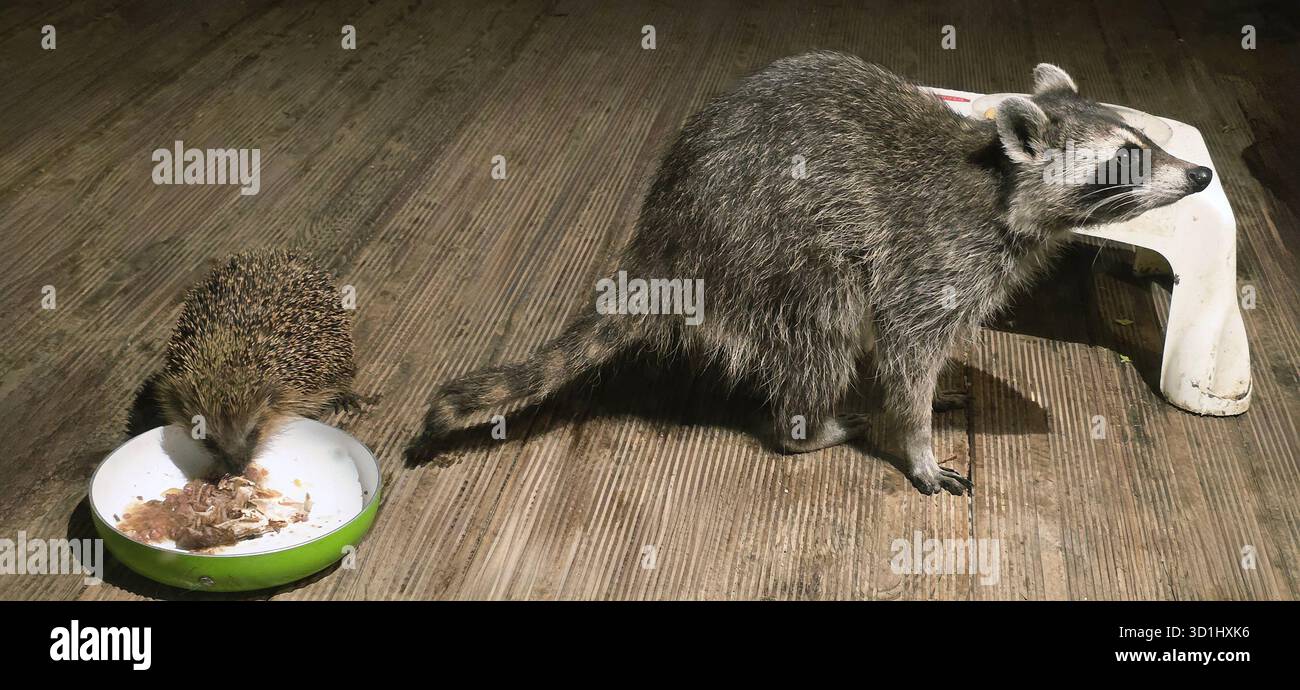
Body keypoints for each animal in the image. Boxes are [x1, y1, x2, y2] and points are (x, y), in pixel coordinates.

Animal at [411, 52, 1212, 495]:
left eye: (1144, 139)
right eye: (1125, 159)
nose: (1202, 174)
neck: (1002, 183)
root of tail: (664, 239)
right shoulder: (935, 253)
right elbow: (904, 347)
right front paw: (915, 440)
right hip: (770, 256)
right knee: (823, 323)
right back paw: (811, 425)